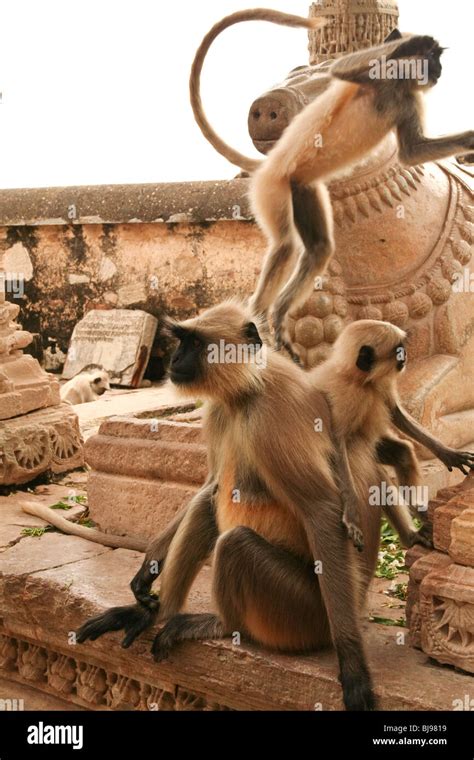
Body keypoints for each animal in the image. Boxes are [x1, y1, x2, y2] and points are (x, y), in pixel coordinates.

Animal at [77, 300, 434, 708]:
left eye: (194, 343)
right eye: (181, 341)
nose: (175, 360)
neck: (246, 391)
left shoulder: (272, 416)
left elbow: (322, 510)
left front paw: (353, 665)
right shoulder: (218, 411)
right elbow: (210, 486)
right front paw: (148, 569)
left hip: (303, 611)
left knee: (236, 543)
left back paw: (223, 626)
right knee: (208, 506)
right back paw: (158, 613)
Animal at [189, 8, 474, 360]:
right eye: (433, 59)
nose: (438, 70)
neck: (393, 84)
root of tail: (273, 168)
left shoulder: (406, 99)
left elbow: (412, 152)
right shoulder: (374, 77)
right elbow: (342, 68)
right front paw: (409, 42)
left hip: (290, 190)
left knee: (301, 246)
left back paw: (267, 315)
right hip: (280, 187)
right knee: (301, 247)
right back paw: (269, 315)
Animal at [312, 320, 474, 548]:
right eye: (397, 350)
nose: (405, 355)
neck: (361, 381)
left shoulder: (379, 383)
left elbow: (396, 413)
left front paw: (447, 453)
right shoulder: (345, 395)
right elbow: (336, 442)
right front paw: (351, 516)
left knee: (402, 452)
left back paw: (415, 524)